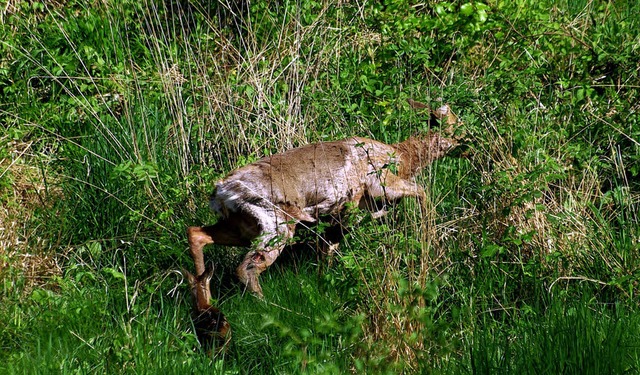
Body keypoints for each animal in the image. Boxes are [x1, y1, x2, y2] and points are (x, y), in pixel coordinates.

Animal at [186, 104, 460, 298]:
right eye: (456, 125)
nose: (465, 143)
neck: (401, 157)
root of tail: (221, 192)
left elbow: (328, 248)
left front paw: (323, 282)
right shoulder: (377, 186)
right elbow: (420, 190)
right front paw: (430, 235)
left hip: (242, 227)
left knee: (196, 233)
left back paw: (204, 300)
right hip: (275, 225)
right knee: (246, 267)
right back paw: (267, 306)